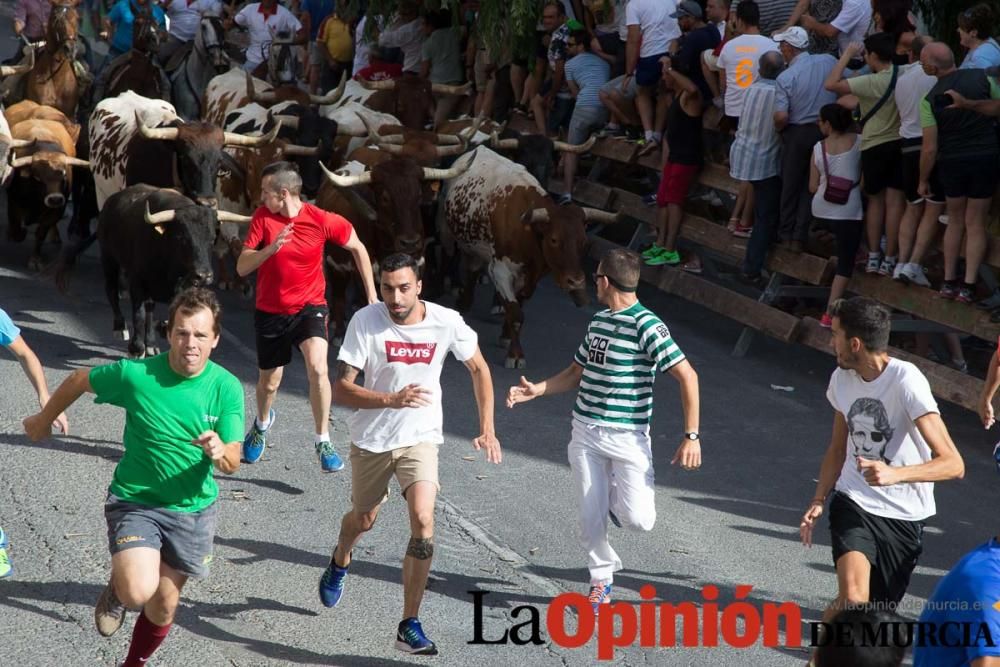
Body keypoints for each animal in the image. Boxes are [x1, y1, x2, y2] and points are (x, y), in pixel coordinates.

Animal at [444, 145, 620, 370]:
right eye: (554, 240)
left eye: (583, 242)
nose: (576, 281)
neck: (530, 232)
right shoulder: (500, 270)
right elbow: (516, 313)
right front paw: (516, 354)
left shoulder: (531, 277)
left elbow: (518, 306)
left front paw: (506, 335)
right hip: (450, 234)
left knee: (473, 269)